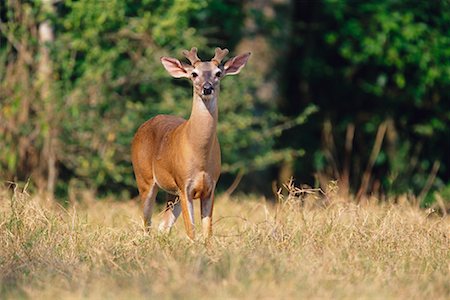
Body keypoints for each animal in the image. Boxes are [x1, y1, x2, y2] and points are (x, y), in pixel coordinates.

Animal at [131, 47, 250, 239]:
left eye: (218, 73)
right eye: (194, 74)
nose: (207, 88)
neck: (200, 156)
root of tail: (142, 127)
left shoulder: (210, 186)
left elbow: (207, 231)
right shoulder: (183, 184)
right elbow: (191, 230)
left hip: (171, 193)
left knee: (164, 225)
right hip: (144, 177)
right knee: (147, 222)